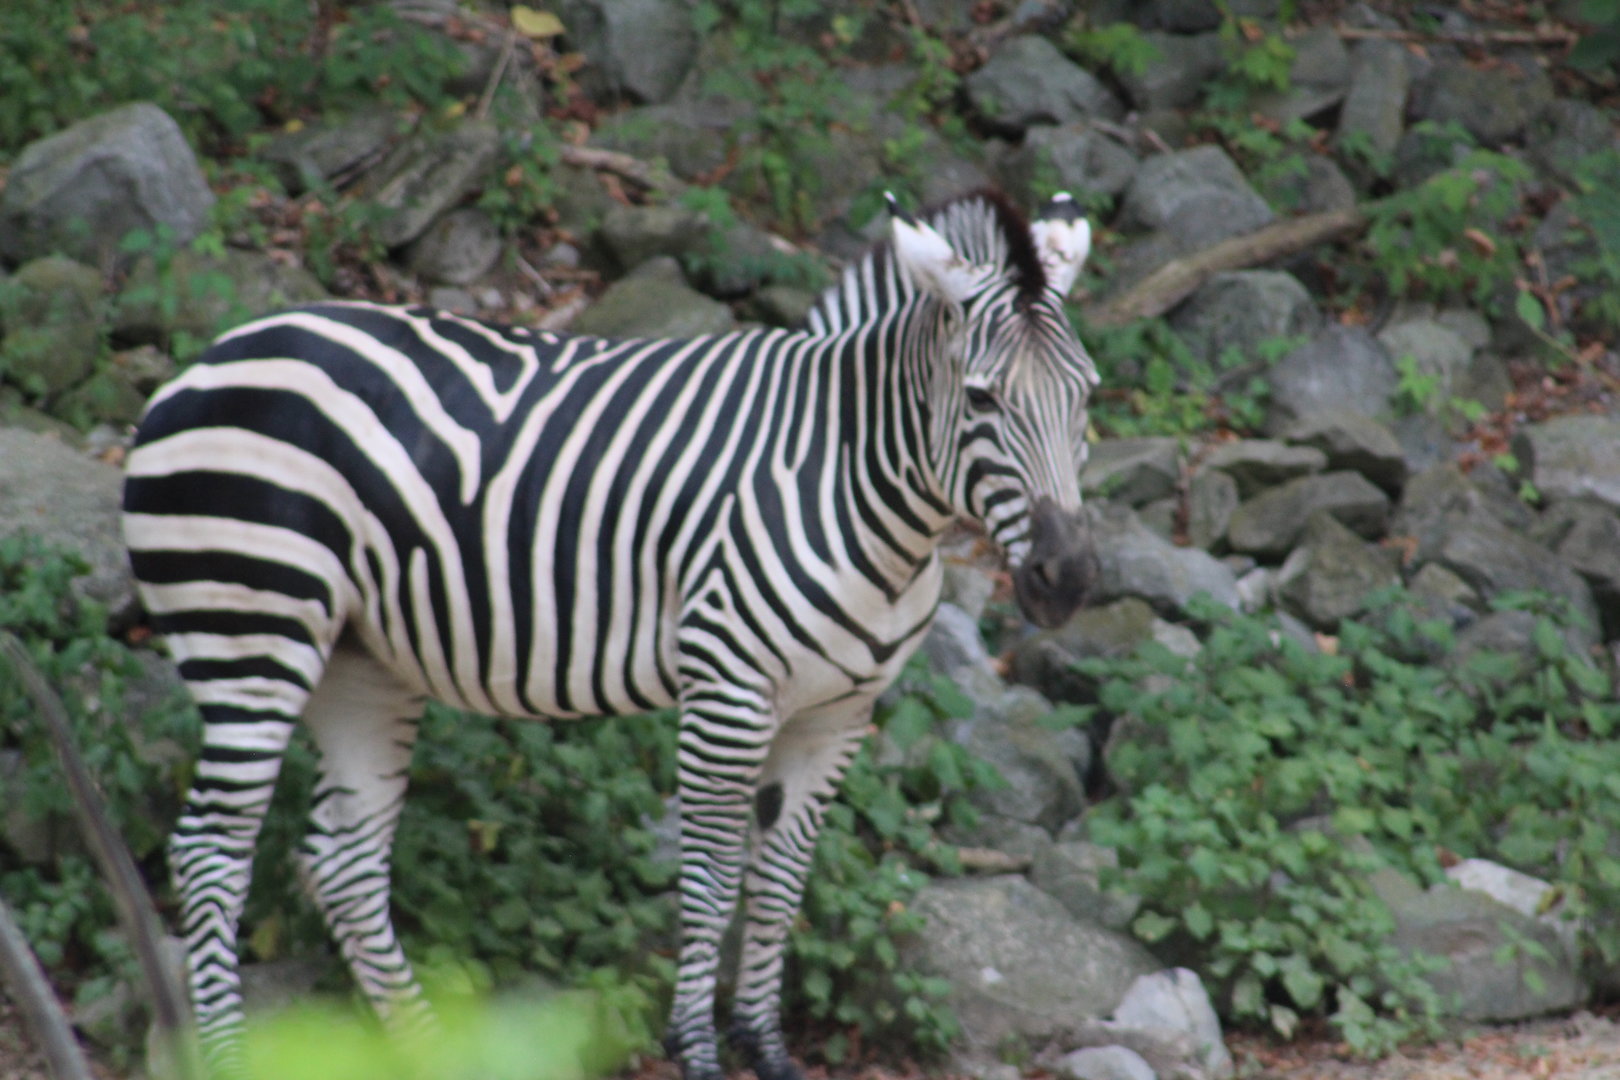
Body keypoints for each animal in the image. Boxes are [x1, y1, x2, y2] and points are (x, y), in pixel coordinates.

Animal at [121, 189, 1100, 1080]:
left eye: (1087, 397)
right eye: (980, 400)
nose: (1068, 579)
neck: (851, 484)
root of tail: (201, 363)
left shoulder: (838, 716)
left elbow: (780, 885)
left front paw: (767, 1048)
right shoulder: (728, 695)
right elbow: (712, 879)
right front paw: (698, 1050)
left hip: (362, 664)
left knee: (343, 862)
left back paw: (430, 1052)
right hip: (254, 633)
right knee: (212, 853)